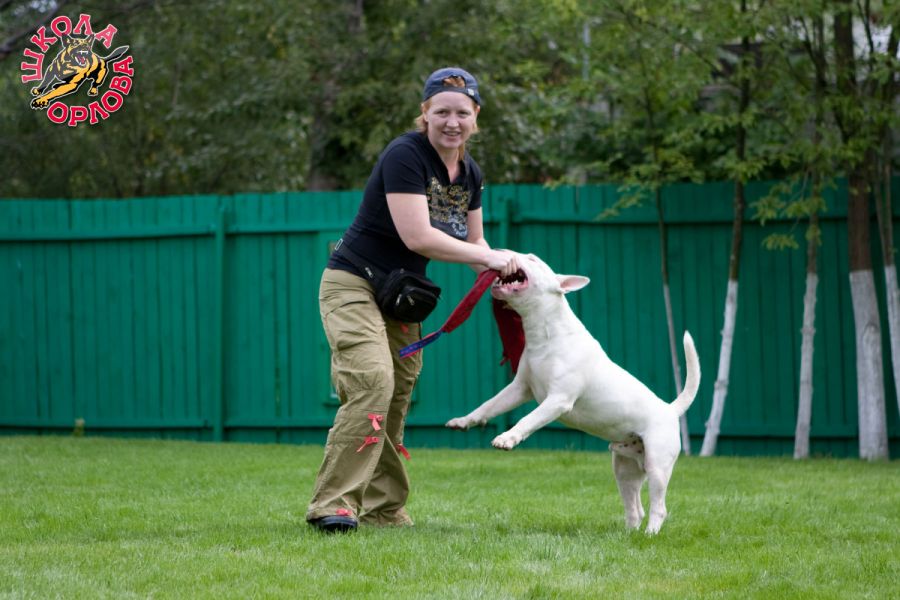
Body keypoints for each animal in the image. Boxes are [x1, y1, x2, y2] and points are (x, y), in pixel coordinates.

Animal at [446, 253, 700, 534]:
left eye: (532, 258)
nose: (504, 253)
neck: (545, 334)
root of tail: (670, 409)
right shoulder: (519, 388)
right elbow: (489, 405)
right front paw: (463, 421)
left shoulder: (558, 400)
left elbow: (528, 419)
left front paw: (506, 439)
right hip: (625, 466)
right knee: (635, 507)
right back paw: (628, 535)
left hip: (657, 464)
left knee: (658, 507)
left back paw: (650, 534)